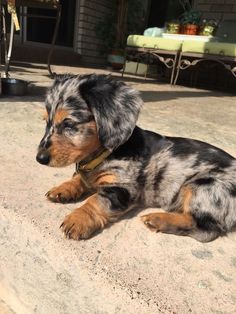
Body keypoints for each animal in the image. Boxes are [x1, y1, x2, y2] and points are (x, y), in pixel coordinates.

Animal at [37, 73, 236, 243]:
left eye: (69, 123)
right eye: (45, 121)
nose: (40, 158)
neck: (104, 154)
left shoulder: (123, 189)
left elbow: (96, 200)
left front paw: (78, 219)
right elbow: (79, 178)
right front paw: (63, 188)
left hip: (203, 186)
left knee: (204, 230)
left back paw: (158, 219)